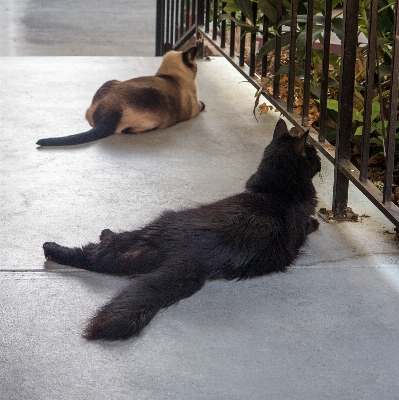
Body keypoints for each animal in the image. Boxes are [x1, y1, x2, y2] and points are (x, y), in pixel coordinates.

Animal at [36, 44, 206, 147]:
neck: (171, 77)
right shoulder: (195, 109)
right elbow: (202, 105)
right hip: (154, 120)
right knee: (128, 130)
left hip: (111, 82)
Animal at [41, 119, 322, 340]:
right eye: (312, 153)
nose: (320, 160)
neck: (275, 189)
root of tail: (189, 257)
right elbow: (311, 223)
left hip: (131, 246)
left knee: (93, 256)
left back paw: (56, 246)